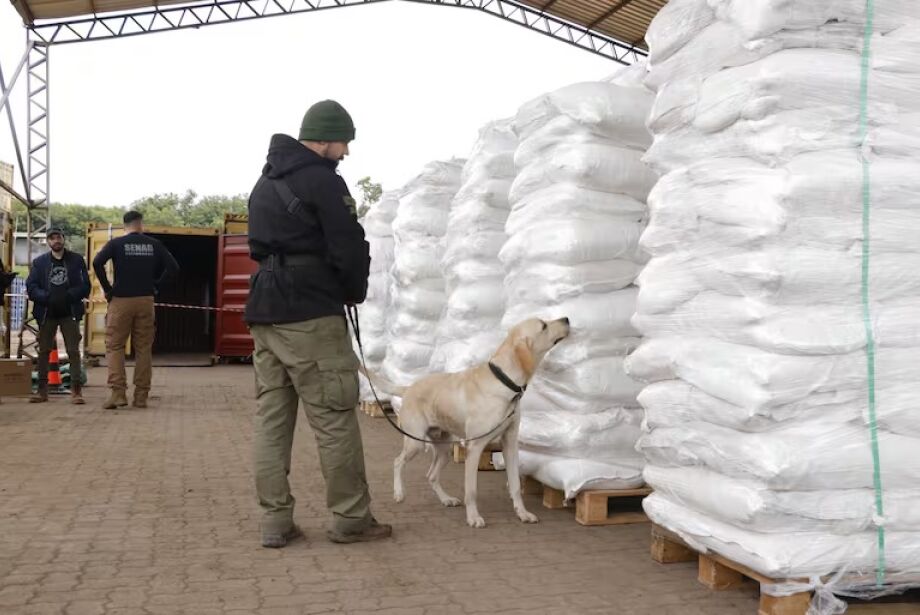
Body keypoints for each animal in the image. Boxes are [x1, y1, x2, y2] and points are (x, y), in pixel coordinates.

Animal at [362, 318, 568, 528]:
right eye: (543, 325)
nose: (566, 319)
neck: (504, 382)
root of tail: (408, 387)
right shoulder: (474, 447)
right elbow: (471, 490)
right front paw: (473, 517)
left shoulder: (510, 443)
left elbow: (516, 486)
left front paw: (523, 513)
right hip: (415, 443)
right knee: (397, 462)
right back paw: (399, 493)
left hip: (444, 449)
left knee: (431, 475)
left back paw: (446, 499)